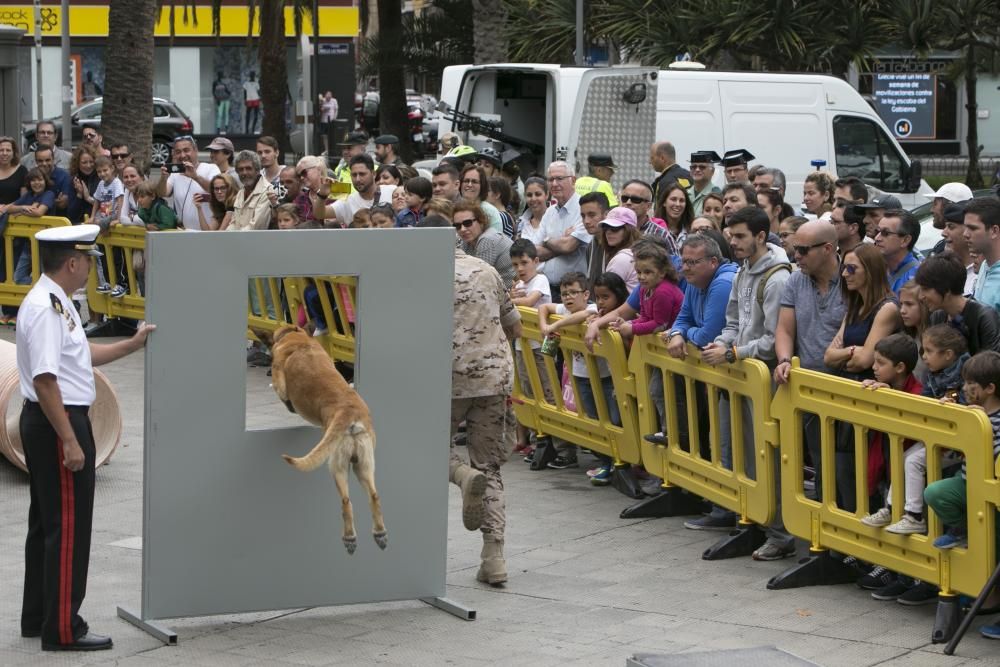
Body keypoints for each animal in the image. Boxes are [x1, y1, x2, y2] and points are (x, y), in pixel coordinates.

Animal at [256, 324, 384, 552]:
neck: (296, 338)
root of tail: (349, 414)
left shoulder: (280, 381)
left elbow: (282, 393)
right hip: (364, 464)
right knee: (374, 496)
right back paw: (379, 533)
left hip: (337, 464)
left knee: (345, 501)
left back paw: (349, 538)